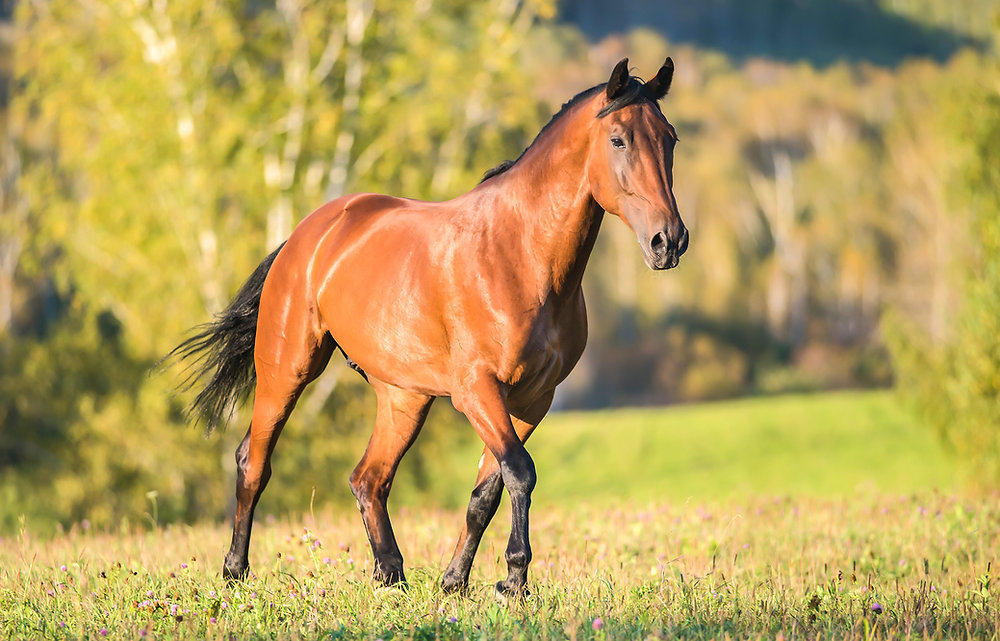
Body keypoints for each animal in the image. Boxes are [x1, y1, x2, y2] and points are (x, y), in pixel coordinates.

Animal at [169, 57, 688, 597]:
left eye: (670, 139)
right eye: (618, 140)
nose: (668, 241)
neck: (520, 256)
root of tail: (304, 235)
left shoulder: (531, 401)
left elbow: (487, 492)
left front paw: (456, 581)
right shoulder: (477, 390)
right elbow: (520, 474)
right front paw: (514, 579)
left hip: (404, 398)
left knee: (369, 478)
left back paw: (390, 574)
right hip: (287, 369)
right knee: (254, 461)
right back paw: (234, 572)